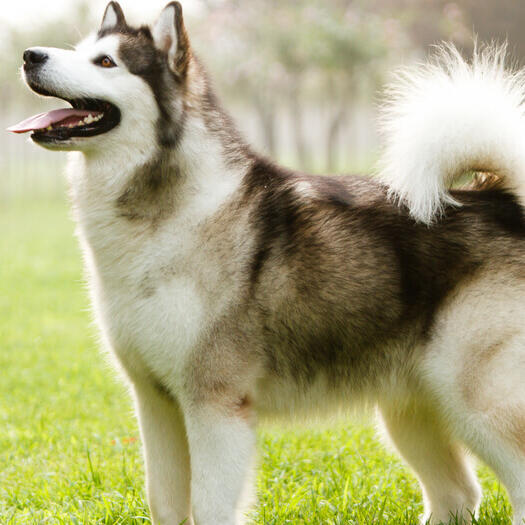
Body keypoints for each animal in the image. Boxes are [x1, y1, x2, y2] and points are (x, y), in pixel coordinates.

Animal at [7, 2, 524, 520]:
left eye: (106, 62)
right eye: (79, 50)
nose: (30, 55)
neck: (162, 213)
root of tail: (504, 203)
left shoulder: (214, 404)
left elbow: (210, 506)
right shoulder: (156, 403)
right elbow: (164, 503)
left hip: (475, 401)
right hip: (409, 410)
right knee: (459, 495)